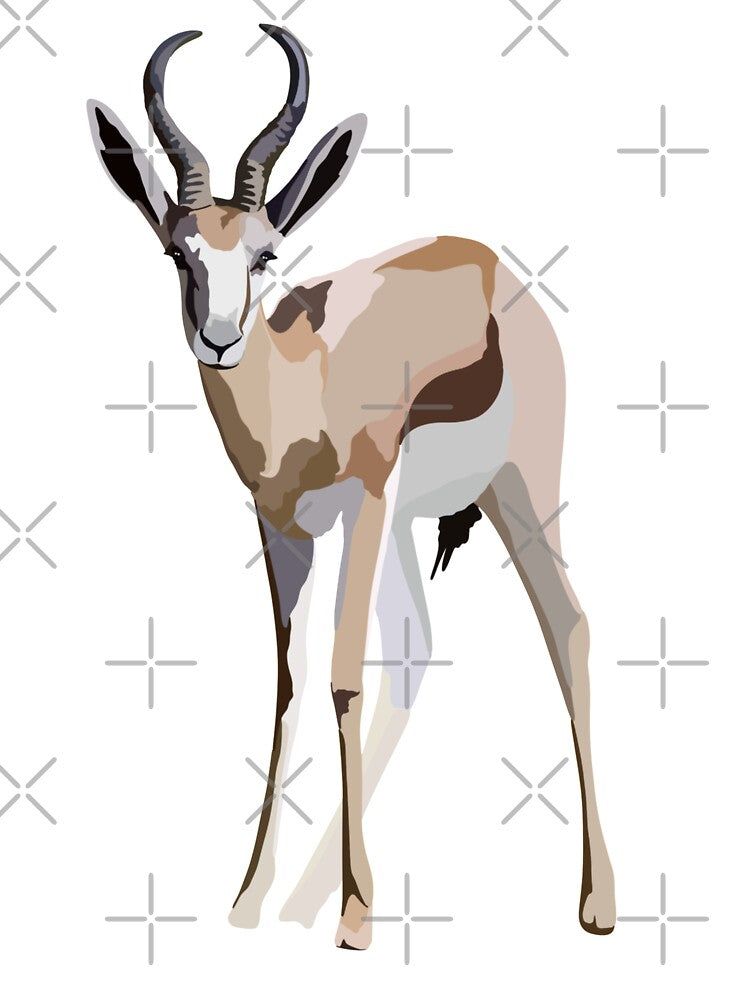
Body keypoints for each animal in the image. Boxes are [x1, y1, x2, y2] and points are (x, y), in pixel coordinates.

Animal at [88, 24, 616, 950]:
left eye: (264, 252)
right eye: (176, 250)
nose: (218, 339)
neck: (304, 383)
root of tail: (491, 268)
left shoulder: (364, 500)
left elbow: (341, 675)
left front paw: (358, 918)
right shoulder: (279, 526)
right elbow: (290, 680)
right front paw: (249, 901)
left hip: (518, 490)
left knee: (568, 627)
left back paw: (597, 904)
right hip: (416, 524)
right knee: (417, 649)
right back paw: (308, 899)